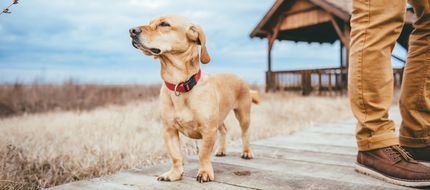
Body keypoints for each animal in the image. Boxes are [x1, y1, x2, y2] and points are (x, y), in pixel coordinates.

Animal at [129, 15, 258, 183]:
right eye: (150, 22)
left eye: (164, 24)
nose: (132, 30)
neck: (179, 85)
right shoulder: (169, 130)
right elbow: (175, 156)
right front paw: (174, 173)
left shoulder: (208, 130)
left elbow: (203, 154)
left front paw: (204, 172)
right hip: (219, 117)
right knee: (224, 130)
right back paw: (222, 150)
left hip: (243, 115)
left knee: (245, 133)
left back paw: (247, 152)